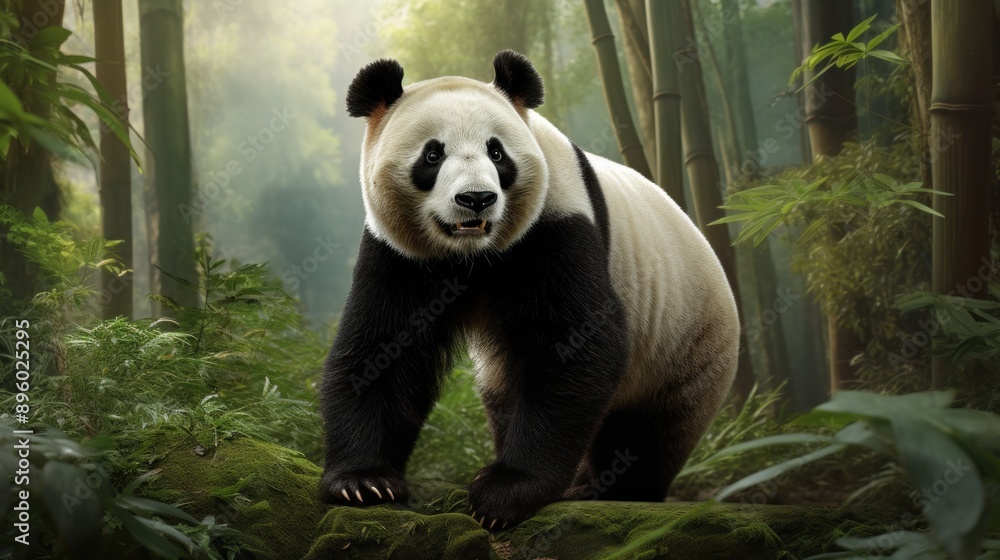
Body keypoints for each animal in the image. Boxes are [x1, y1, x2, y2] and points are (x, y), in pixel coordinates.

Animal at [319, 50, 739, 531]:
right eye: (432, 154)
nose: (476, 199)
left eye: (496, 151)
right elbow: (382, 348)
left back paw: (602, 489)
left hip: (683, 342)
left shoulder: (556, 223)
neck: (472, 254)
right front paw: (364, 482)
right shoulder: (400, 254)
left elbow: (574, 345)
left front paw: (506, 492)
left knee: (646, 434)